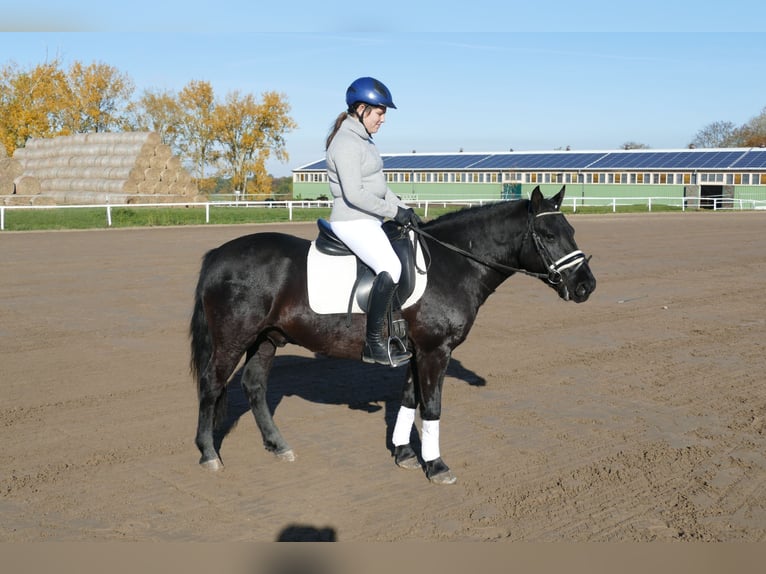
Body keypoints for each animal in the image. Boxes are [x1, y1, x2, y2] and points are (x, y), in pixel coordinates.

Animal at [189, 188, 596, 486]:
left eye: (572, 232)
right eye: (547, 235)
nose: (586, 286)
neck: (451, 264)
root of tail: (219, 254)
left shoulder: (416, 352)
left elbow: (409, 400)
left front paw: (404, 454)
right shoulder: (434, 352)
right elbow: (431, 407)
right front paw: (437, 465)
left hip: (266, 340)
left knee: (255, 387)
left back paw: (277, 446)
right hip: (233, 340)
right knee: (211, 385)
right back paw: (209, 454)